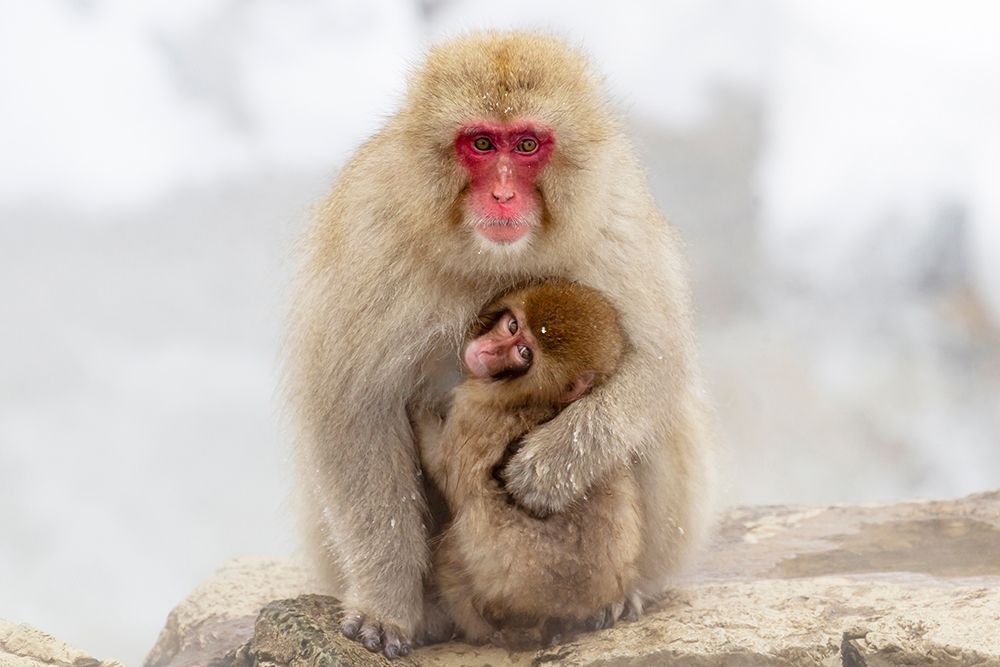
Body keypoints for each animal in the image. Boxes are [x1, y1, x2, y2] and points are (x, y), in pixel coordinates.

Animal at [414, 279, 643, 646]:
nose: (488, 351)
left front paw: (416, 409)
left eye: (524, 353)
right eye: (512, 326)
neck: (530, 399)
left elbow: (446, 472)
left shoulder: (473, 416)